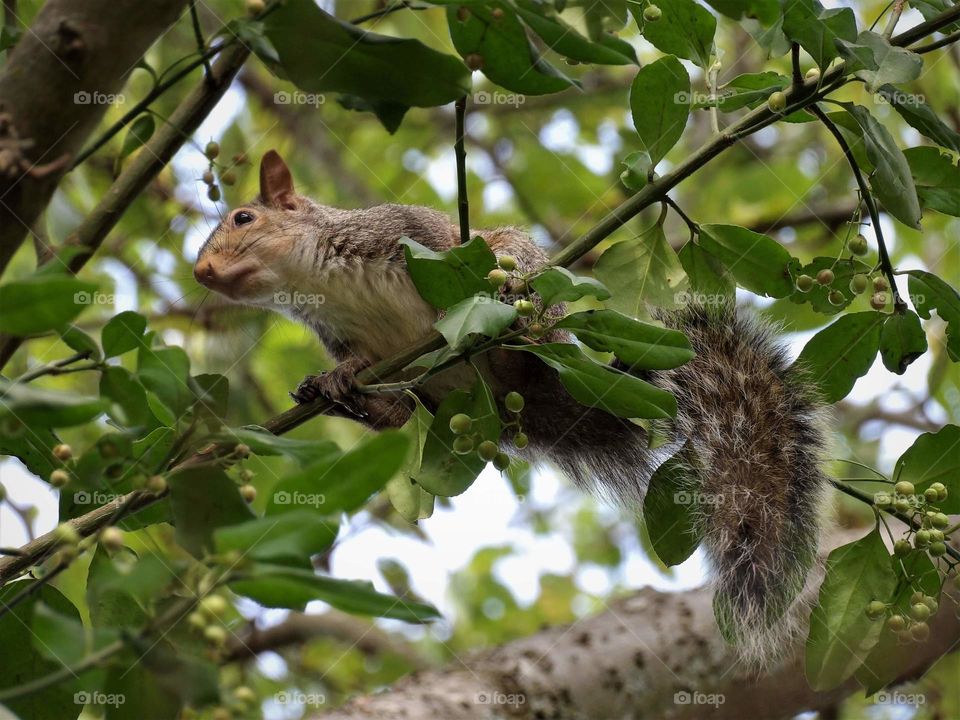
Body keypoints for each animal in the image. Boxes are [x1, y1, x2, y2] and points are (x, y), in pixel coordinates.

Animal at [194, 150, 829, 665]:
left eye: (244, 218)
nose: (200, 272)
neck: (324, 282)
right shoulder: (351, 343)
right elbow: (368, 380)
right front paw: (333, 381)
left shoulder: (414, 234)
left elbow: (468, 252)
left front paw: (488, 292)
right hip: (440, 393)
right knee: (401, 415)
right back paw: (345, 403)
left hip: (539, 326)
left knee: (526, 295)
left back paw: (515, 313)